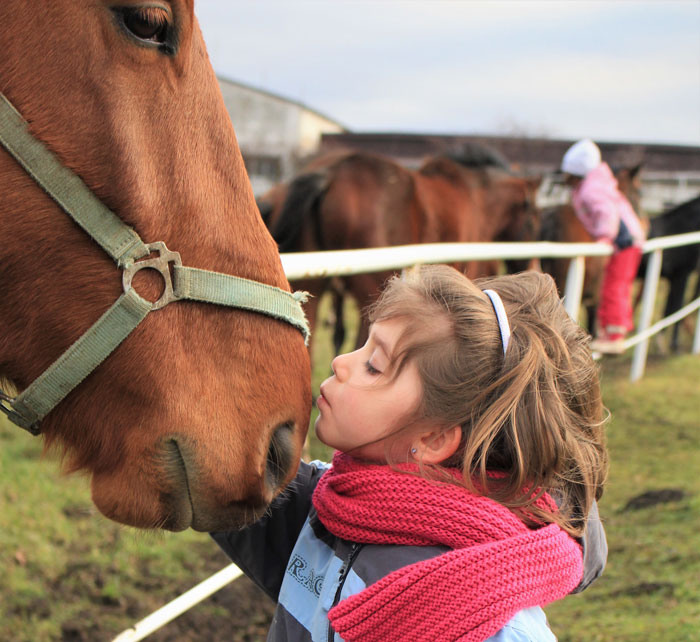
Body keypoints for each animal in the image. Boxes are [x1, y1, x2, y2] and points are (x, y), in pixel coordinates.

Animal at [260, 144, 541, 354]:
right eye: (533, 220)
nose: (533, 267)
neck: (477, 197)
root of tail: (330, 173)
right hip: (371, 291)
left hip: (317, 288)